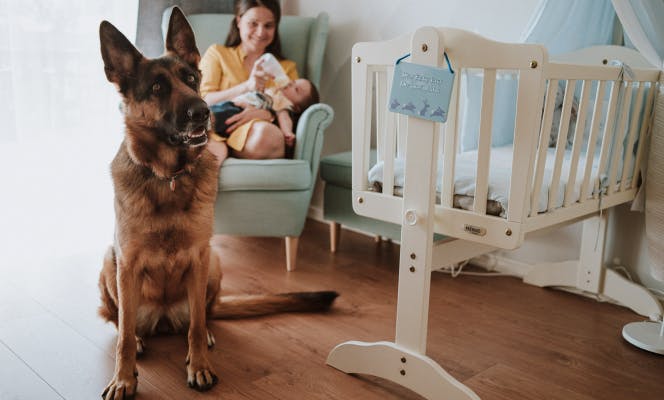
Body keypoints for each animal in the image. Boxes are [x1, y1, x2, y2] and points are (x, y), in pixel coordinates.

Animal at [98, 7, 338, 398]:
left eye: (192, 78)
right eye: (157, 88)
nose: (203, 111)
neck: (168, 178)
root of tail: (164, 318)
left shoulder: (199, 257)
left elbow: (196, 325)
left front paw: (199, 366)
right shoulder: (127, 264)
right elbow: (124, 339)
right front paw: (123, 378)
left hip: (214, 262)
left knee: (201, 316)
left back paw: (206, 334)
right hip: (110, 262)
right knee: (124, 324)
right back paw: (139, 338)